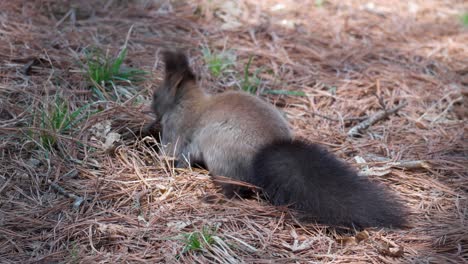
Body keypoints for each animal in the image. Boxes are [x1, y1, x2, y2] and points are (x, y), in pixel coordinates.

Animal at [150, 50, 406, 228]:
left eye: (154, 95)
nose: (150, 107)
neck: (188, 100)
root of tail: (266, 152)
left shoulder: (176, 131)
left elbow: (170, 155)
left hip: (221, 157)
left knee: (235, 191)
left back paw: (214, 197)